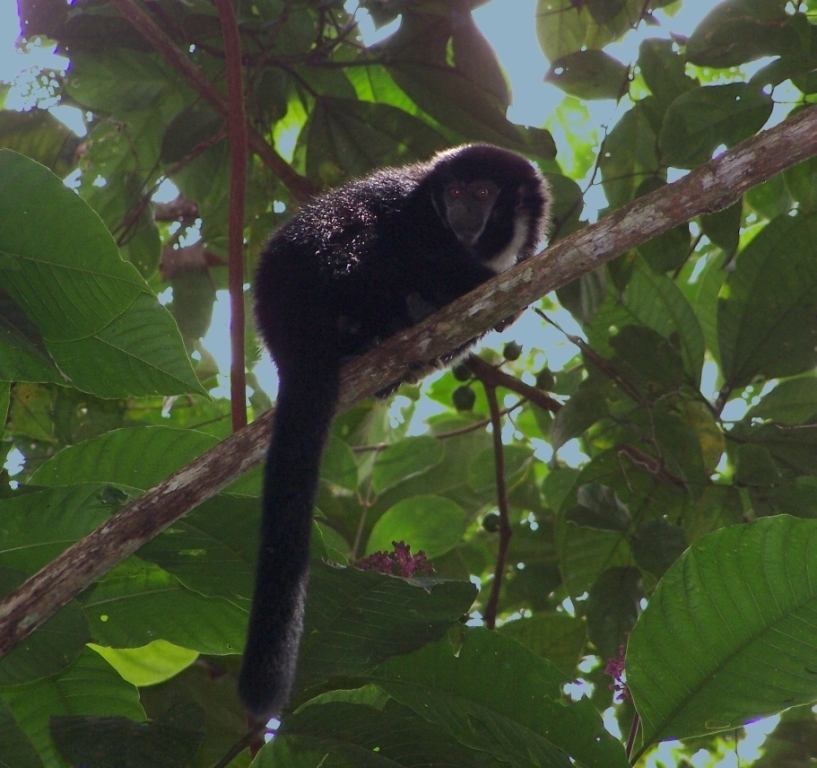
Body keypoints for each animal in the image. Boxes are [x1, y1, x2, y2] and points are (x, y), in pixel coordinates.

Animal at [238, 143, 550, 719]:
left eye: (482, 192)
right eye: (456, 192)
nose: (462, 211)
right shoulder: (418, 212)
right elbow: (409, 243)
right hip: (325, 274)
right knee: (366, 241)